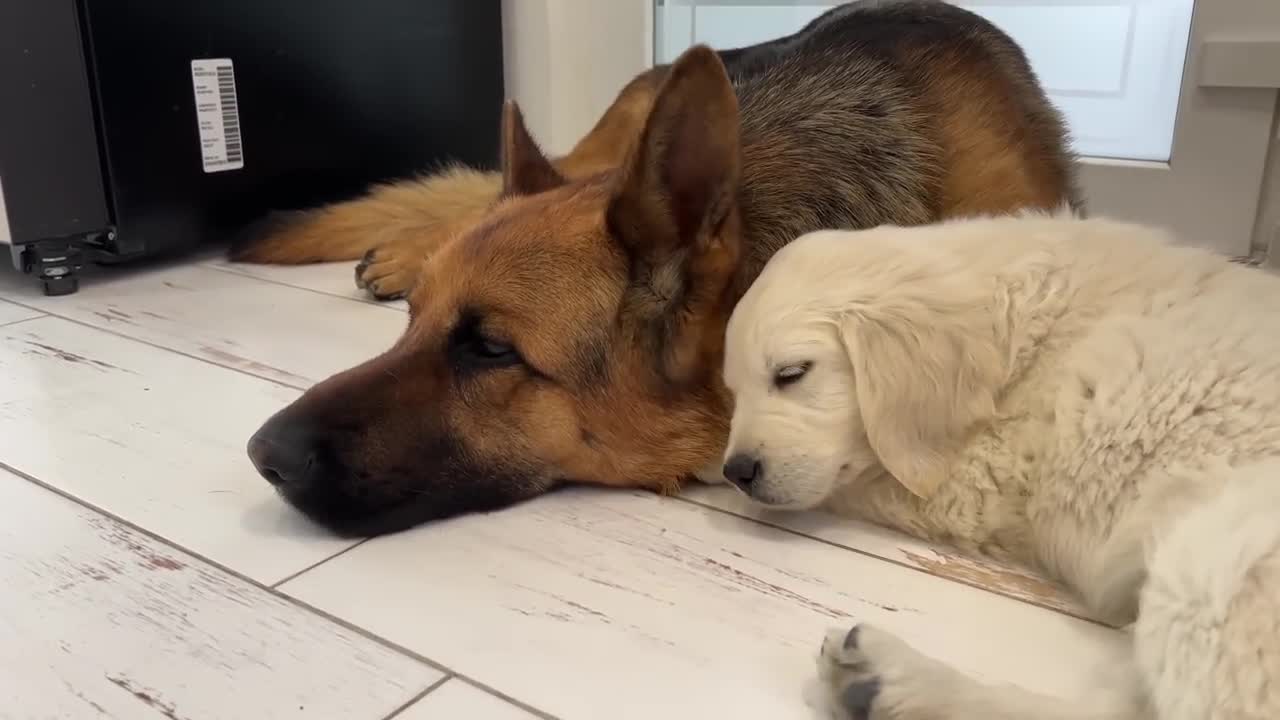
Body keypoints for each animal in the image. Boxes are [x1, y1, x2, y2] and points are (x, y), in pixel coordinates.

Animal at [721, 211, 1280, 717]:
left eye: (791, 373)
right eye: (733, 390)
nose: (737, 472)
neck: (1016, 338)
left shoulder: (979, 481)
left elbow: (868, 480)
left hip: (1211, 557)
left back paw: (897, 681)